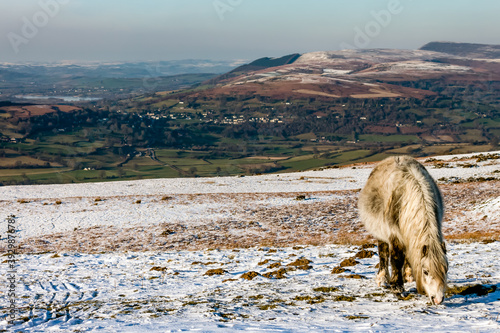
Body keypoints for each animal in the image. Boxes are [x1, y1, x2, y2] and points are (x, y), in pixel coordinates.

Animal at [358, 156, 448, 304]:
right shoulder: (394, 235)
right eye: (425, 271)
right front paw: (397, 288)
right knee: (383, 253)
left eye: (445, 269)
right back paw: (382, 279)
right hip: (381, 233)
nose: (438, 299)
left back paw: (408, 275)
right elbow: (396, 259)